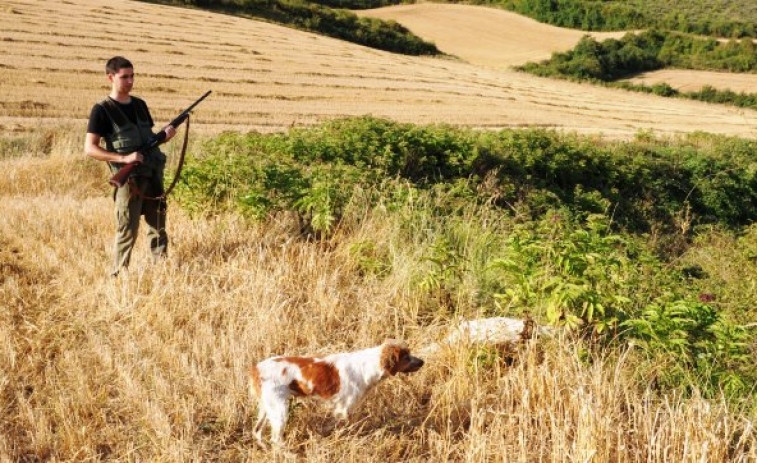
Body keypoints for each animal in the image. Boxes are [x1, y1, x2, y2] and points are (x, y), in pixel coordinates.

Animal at [250, 338, 422, 448]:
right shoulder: (345, 408)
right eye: (406, 357)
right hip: (279, 409)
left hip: (267, 407)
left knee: (257, 431)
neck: (368, 367)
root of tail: (256, 368)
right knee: (275, 440)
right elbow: (348, 427)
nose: (423, 362)